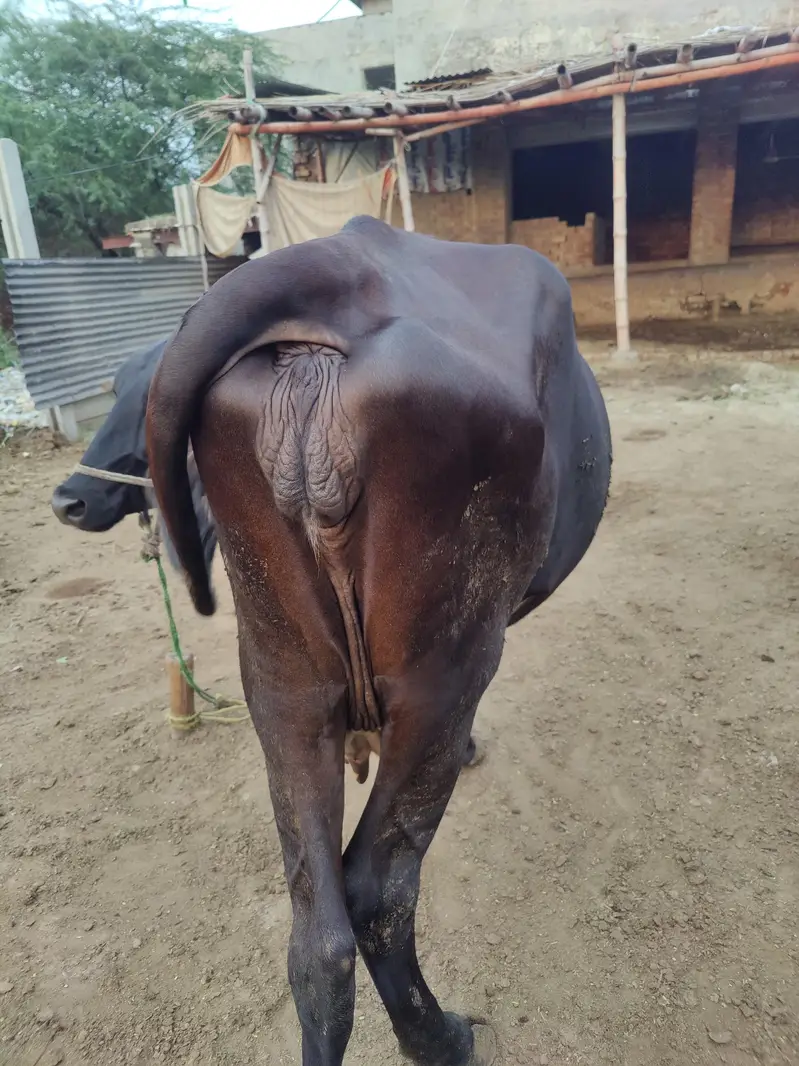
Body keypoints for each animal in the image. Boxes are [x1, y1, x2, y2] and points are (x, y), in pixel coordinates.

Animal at [145, 215, 611, 1066]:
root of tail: (337, 261)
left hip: (281, 675)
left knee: (317, 935)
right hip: (444, 672)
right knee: (376, 889)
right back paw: (440, 1037)